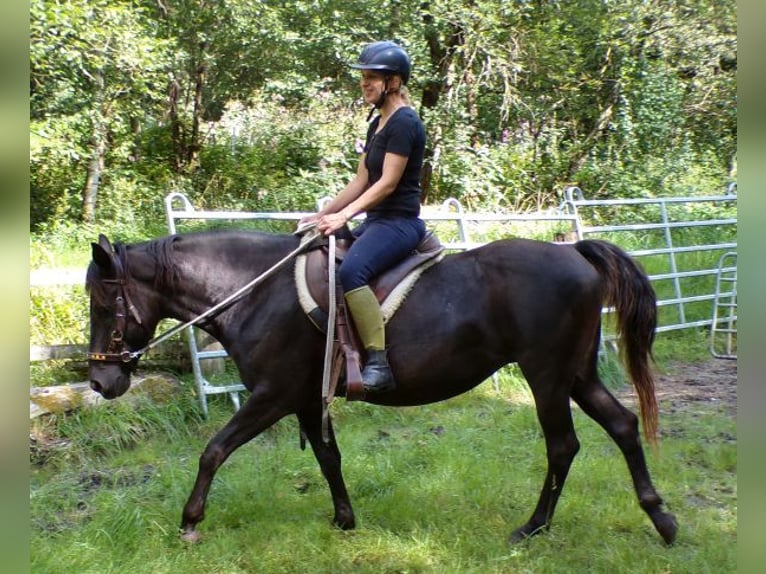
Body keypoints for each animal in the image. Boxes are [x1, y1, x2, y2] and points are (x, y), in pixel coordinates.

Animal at [87, 228, 680, 544]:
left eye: (102, 301)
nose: (100, 379)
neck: (257, 291)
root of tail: (572, 250)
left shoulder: (272, 396)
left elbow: (213, 450)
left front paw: (190, 521)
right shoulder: (305, 401)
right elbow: (329, 458)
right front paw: (345, 519)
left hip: (548, 377)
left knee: (563, 446)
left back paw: (533, 527)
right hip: (576, 374)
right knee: (623, 426)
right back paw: (661, 518)